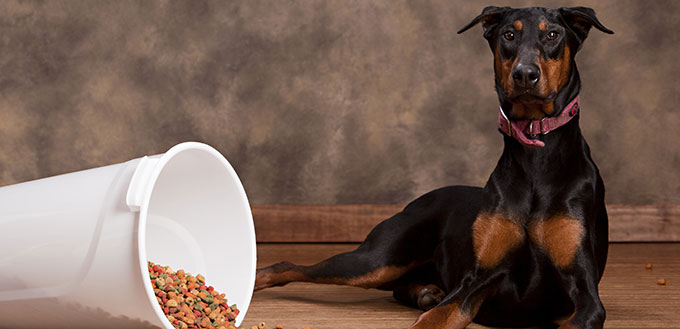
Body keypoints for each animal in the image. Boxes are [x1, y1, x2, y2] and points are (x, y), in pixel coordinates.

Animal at [256, 5, 616, 328]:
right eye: (509, 35)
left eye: (552, 35)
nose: (525, 74)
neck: (535, 159)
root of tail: (422, 198)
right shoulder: (478, 278)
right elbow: (440, 315)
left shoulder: (585, 294)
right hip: (377, 260)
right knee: (290, 264)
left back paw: (424, 292)